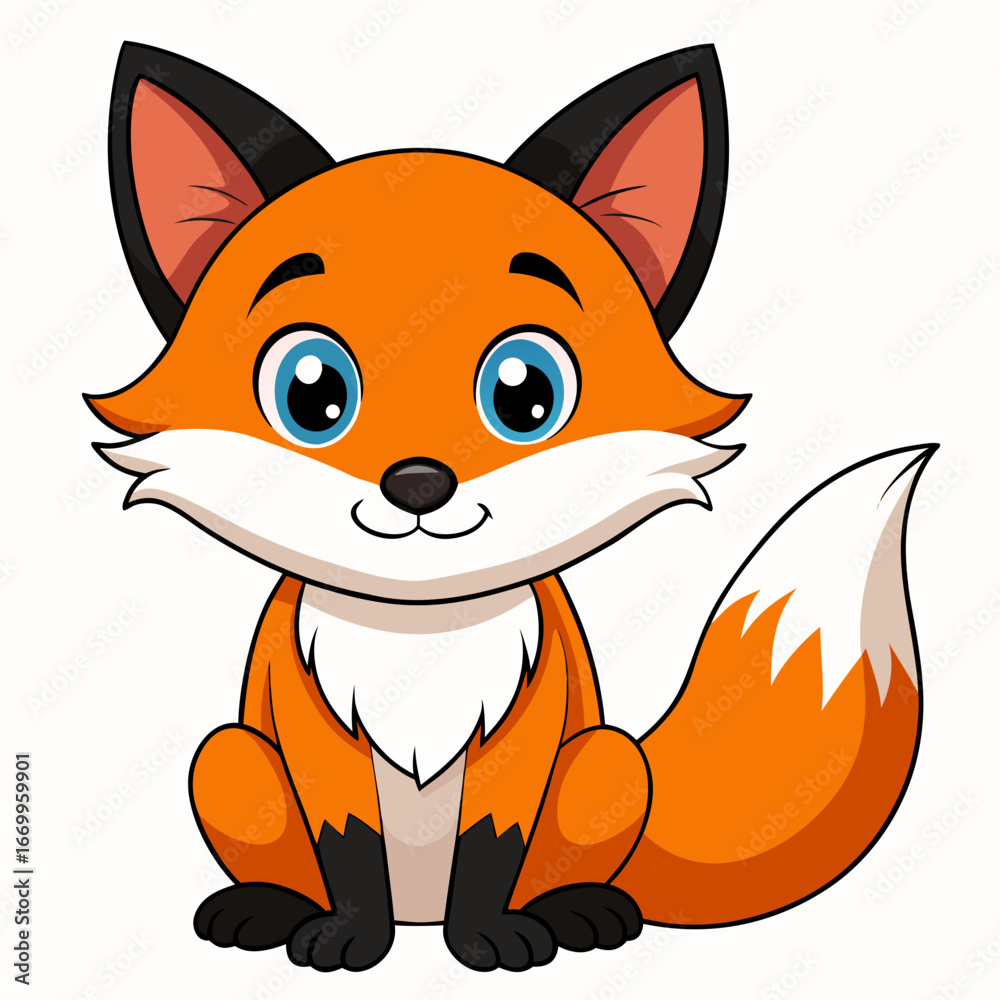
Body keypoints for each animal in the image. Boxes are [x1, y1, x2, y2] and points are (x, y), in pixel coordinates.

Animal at [87, 42, 933, 972]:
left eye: (525, 394)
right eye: (310, 393)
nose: (419, 483)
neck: (419, 632)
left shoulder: (525, 731)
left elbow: (493, 843)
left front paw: (490, 938)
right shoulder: (318, 739)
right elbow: (348, 844)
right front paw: (350, 937)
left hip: (606, 762)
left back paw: (577, 911)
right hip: (228, 759)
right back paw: (268, 908)